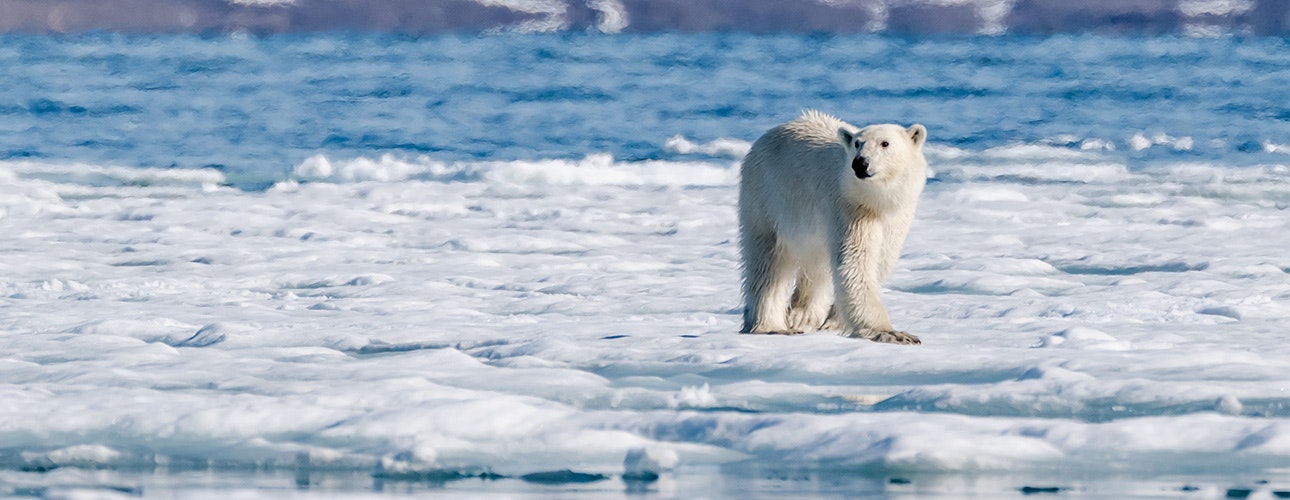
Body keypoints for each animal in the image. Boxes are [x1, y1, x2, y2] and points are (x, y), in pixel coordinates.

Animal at [738, 110, 927, 344]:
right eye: (857, 143)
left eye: (885, 143)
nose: (860, 163)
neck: (877, 202)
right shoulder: (849, 208)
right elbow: (856, 262)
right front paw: (891, 333)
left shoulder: (896, 217)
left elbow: (880, 260)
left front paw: (834, 320)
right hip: (765, 197)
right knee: (767, 264)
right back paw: (772, 326)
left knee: (816, 264)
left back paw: (802, 315)